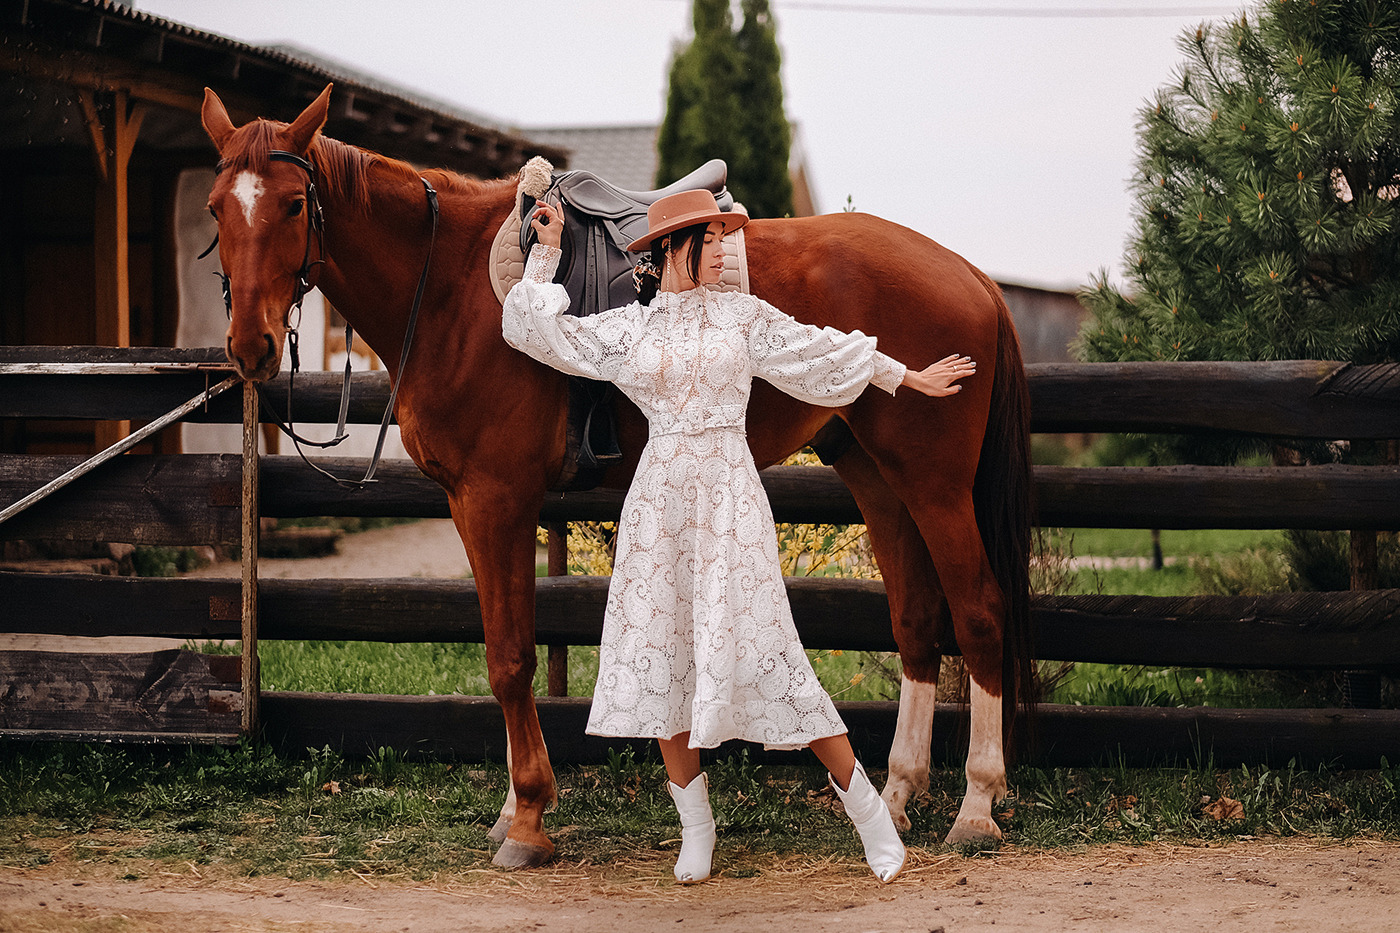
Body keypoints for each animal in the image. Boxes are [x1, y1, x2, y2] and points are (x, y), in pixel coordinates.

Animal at [200, 85, 1030, 862]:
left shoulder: (497, 498)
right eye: (215, 208)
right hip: (877, 476)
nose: (249, 344)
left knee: (981, 613)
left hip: (935, 484)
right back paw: (898, 795)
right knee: (917, 621)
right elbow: (505, 649)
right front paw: (515, 806)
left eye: (294, 202)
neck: (448, 286)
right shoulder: (469, 504)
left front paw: (528, 818)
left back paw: (976, 804)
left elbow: (510, 659)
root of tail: (971, 275)